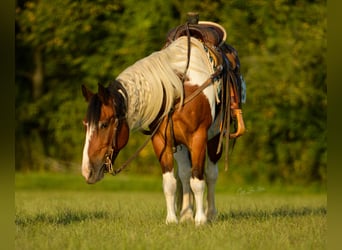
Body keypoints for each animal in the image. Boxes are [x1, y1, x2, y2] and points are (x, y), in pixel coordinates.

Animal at [81, 17, 244, 225]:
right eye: (86, 124)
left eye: (104, 124)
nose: (87, 171)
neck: (178, 90)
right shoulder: (160, 140)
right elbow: (170, 182)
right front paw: (172, 219)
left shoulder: (198, 139)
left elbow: (198, 181)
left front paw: (200, 220)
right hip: (180, 145)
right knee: (184, 174)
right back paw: (186, 214)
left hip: (214, 138)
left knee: (210, 174)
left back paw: (210, 214)